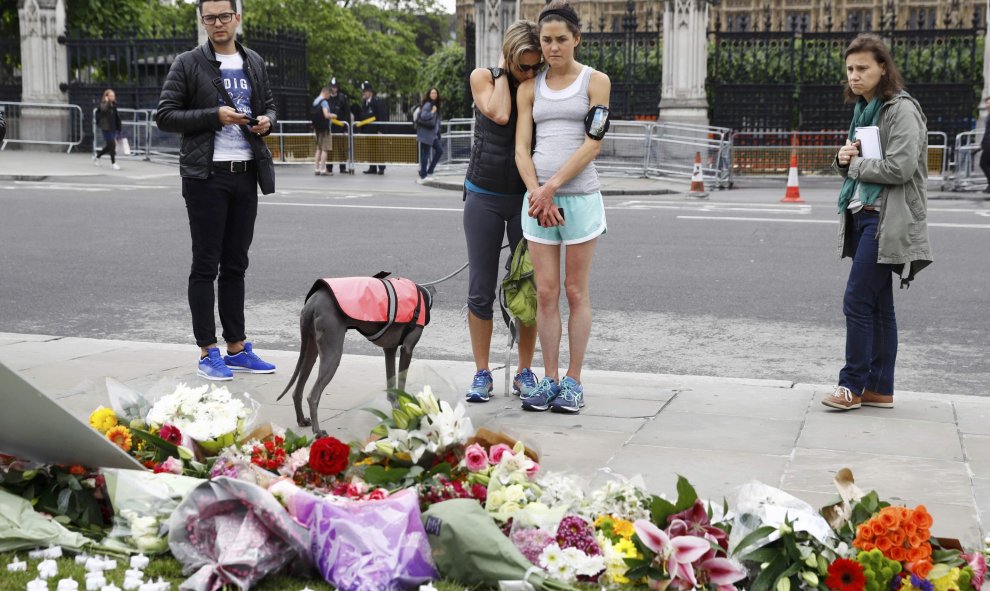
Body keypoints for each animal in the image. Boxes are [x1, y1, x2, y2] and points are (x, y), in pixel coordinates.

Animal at [280, 276, 434, 438]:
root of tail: (313, 302)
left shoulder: (389, 349)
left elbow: (392, 387)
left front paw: (396, 411)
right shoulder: (407, 349)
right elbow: (401, 385)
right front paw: (405, 413)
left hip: (310, 350)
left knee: (297, 390)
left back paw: (302, 420)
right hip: (333, 353)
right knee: (313, 396)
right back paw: (318, 431)